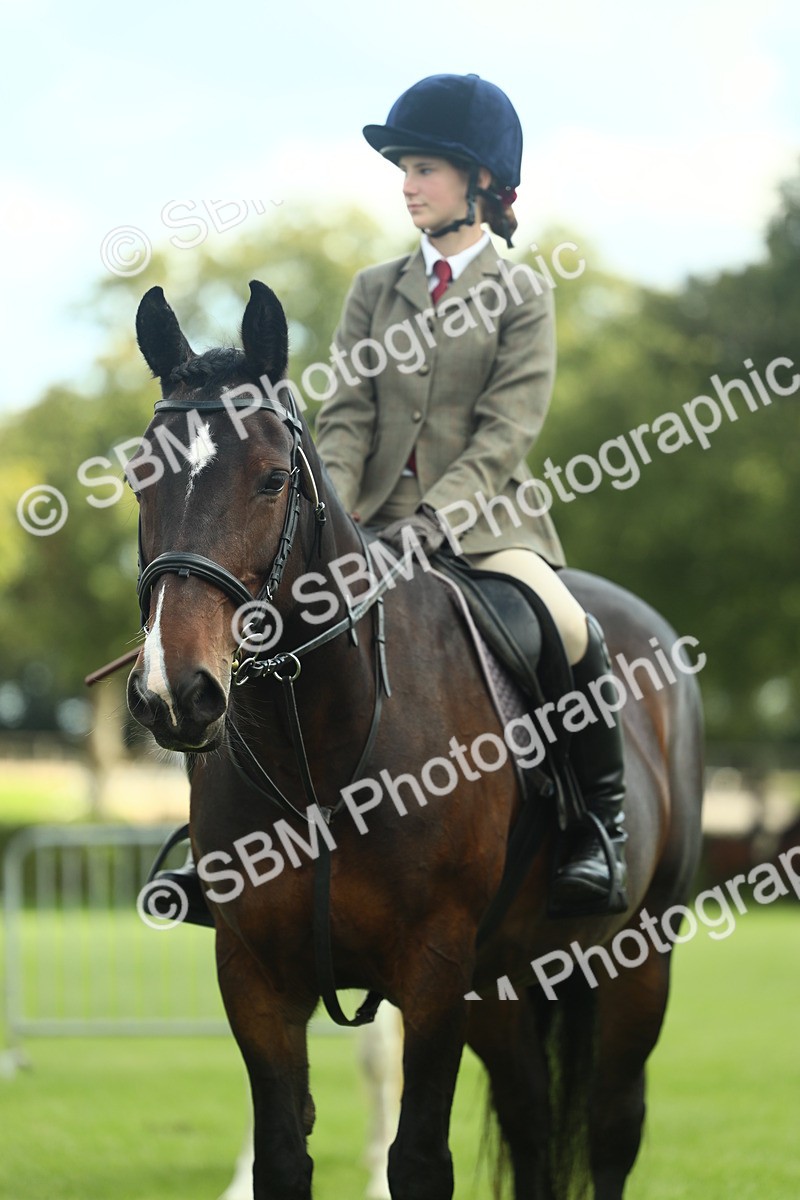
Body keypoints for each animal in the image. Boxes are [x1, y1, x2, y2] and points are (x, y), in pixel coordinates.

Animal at [127, 280, 704, 1200]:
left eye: (273, 479)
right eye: (138, 480)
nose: (174, 692)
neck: (316, 746)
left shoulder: (434, 970)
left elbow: (420, 1160)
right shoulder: (254, 973)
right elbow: (283, 1154)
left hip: (636, 961)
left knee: (613, 1127)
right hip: (508, 980)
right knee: (533, 1123)